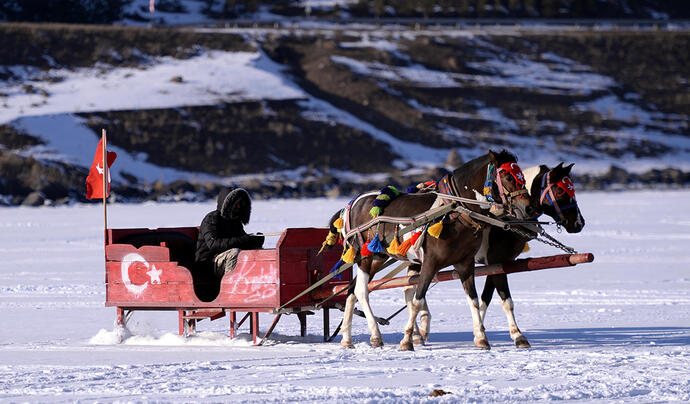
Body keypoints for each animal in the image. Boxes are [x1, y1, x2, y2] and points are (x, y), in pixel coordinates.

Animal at [330, 151, 528, 350]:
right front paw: (407, 340)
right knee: (362, 291)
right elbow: (417, 300)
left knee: (352, 291)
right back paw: (375, 334)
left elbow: (473, 299)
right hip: (365, 256)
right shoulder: (430, 262)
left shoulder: (465, 263)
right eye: (508, 176)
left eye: (523, 177)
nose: (528, 207)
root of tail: (351, 204)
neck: (453, 212)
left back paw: (347, 338)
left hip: (378, 257)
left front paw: (481, 337)